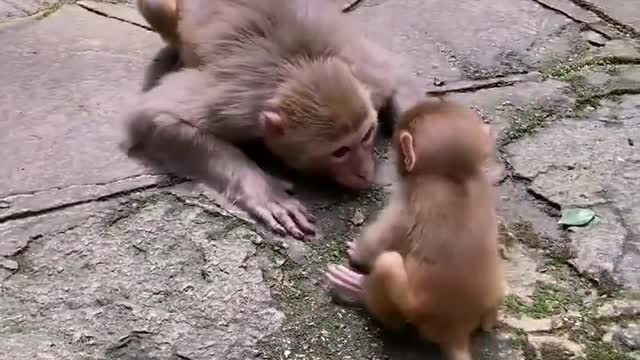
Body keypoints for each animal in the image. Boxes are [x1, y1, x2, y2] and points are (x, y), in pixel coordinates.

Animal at [124, 0, 400, 240]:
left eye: (367, 134)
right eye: (340, 151)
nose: (365, 173)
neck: (301, 66)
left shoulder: (367, 76)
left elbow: (397, 75)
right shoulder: (237, 107)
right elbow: (152, 115)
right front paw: (265, 192)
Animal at [330, 98, 504, 360]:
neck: (452, 176)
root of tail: (456, 330)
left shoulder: (405, 201)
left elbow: (378, 242)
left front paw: (357, 251)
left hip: (411, 306)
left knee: (388, 264)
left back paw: (359, 290)